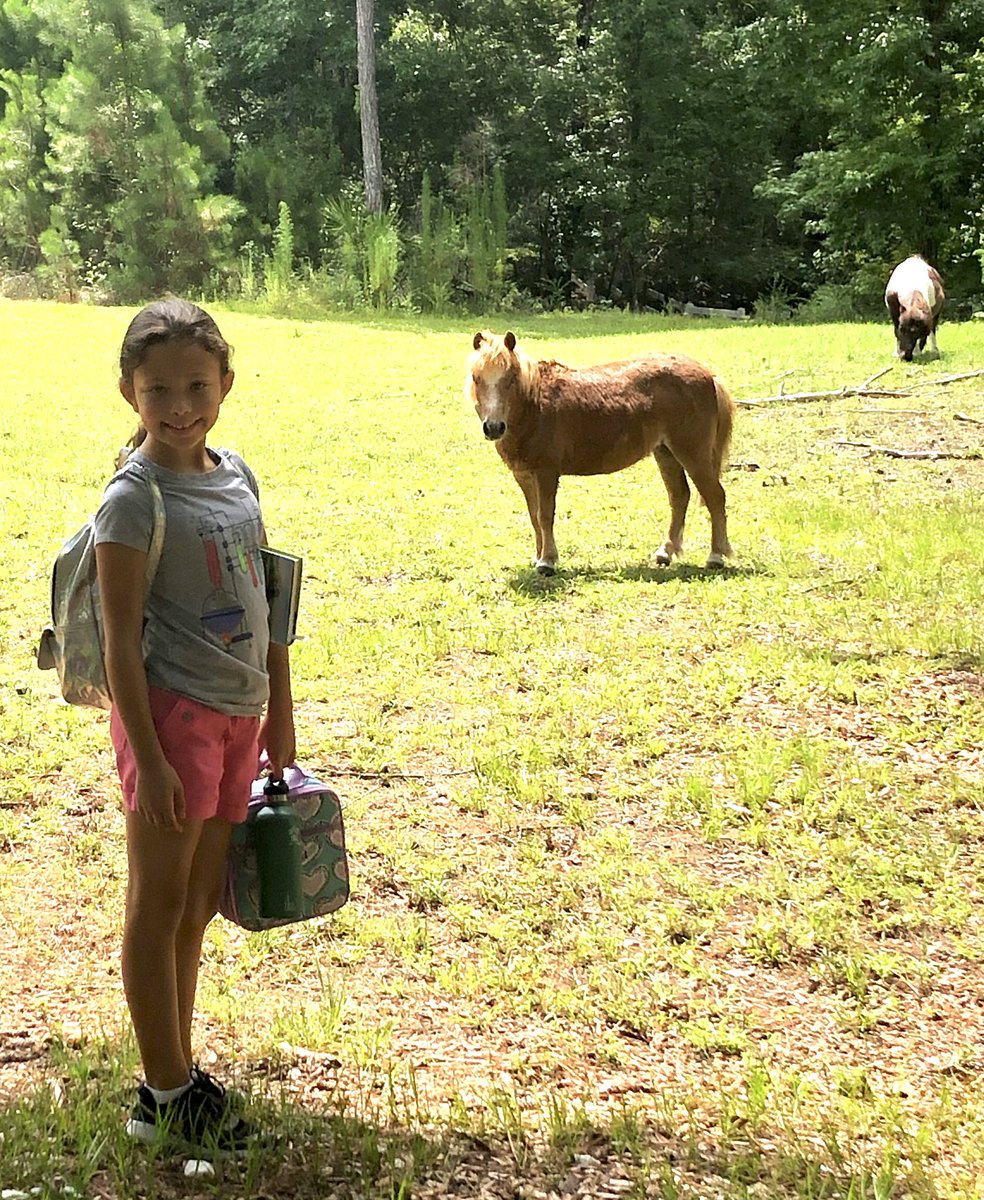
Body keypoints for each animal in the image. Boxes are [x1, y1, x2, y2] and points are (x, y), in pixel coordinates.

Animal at [465, 330, 735, 574]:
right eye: (476, 378)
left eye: (511, 378)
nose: (494, 427)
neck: (534, 406)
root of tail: (709, 375)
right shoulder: (523, 475)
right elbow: (534, 516)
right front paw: (538, 556)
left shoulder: (546, 472)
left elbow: (544, 516)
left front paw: (547, 561)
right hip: (666, 453)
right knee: (679, 497)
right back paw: (665, 552)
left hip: (692, 453)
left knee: (715, 496)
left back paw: (716, 556)